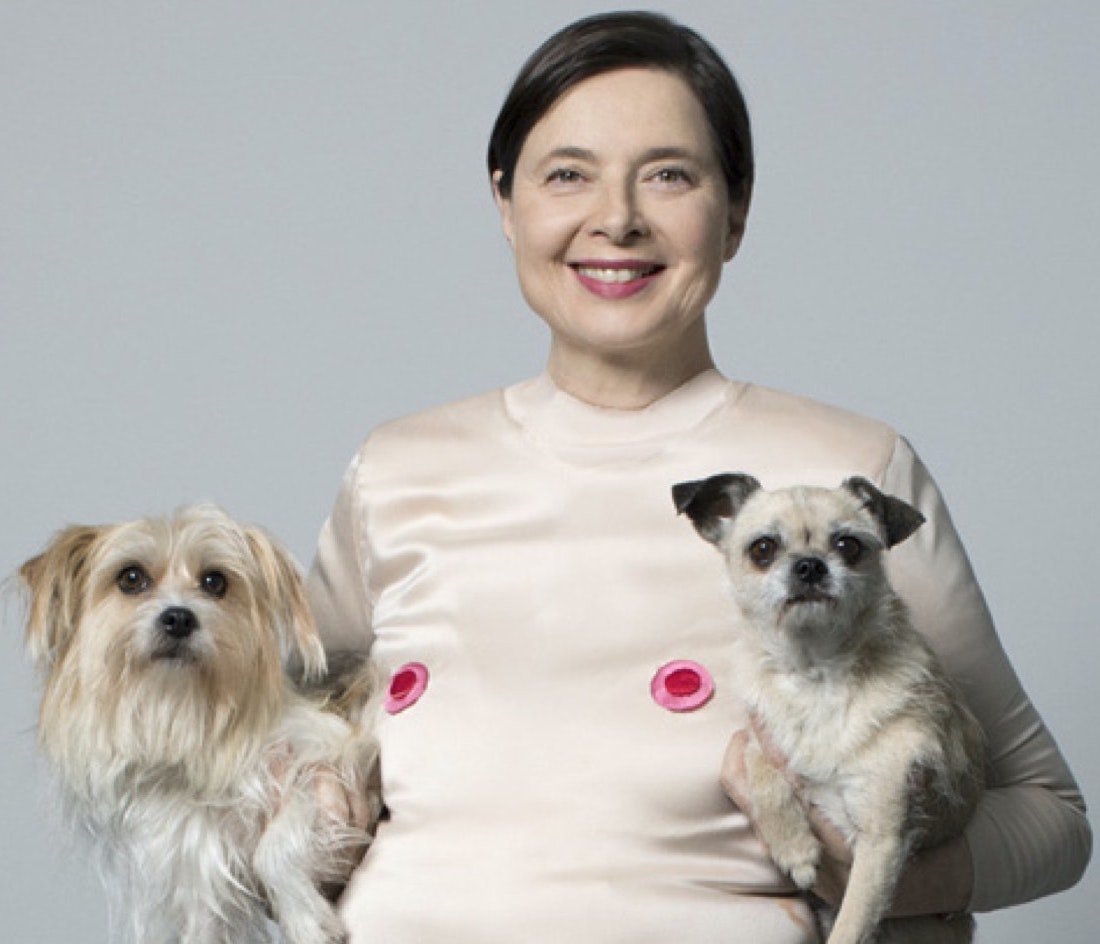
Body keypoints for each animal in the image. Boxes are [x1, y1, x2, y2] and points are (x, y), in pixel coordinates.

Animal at [673, 475, 985, 941]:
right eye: (762, 549)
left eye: (848, 546)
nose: (809, 565)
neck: (815, 673)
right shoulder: (762, 736)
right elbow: (758, 761)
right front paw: (795, 848)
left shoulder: (881, 838)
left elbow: (852, 925)